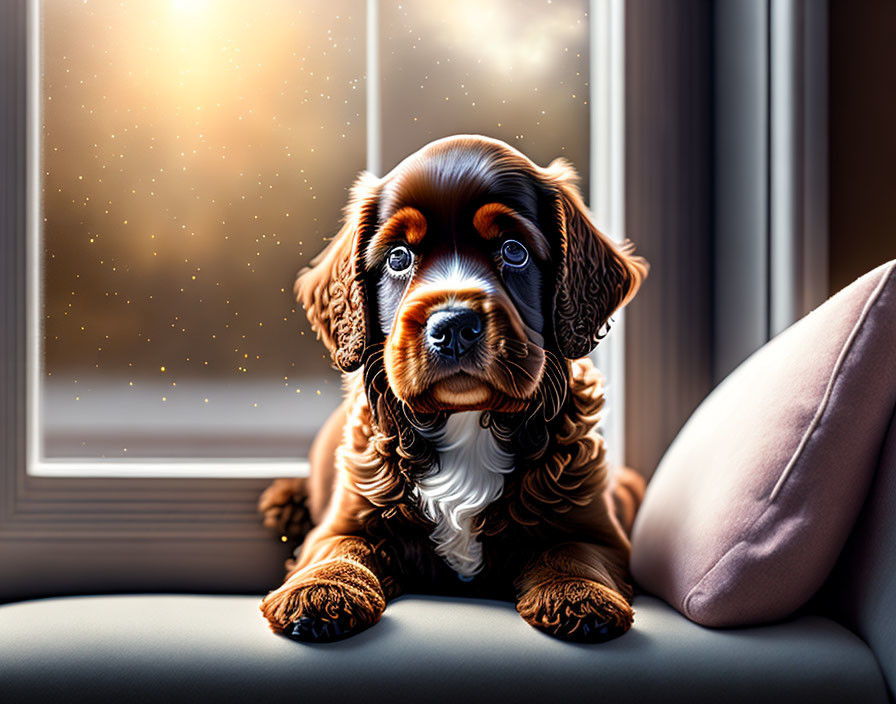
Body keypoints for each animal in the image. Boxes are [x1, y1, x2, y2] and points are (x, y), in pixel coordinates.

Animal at [258, 133, 644, 644]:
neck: (467, 421)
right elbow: (340, 548)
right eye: (399, 257)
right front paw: (320, 592)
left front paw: (579, 595)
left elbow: (573, 551)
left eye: (514, 250)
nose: (454, 326)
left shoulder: (596, 526)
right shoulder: (345, 517)